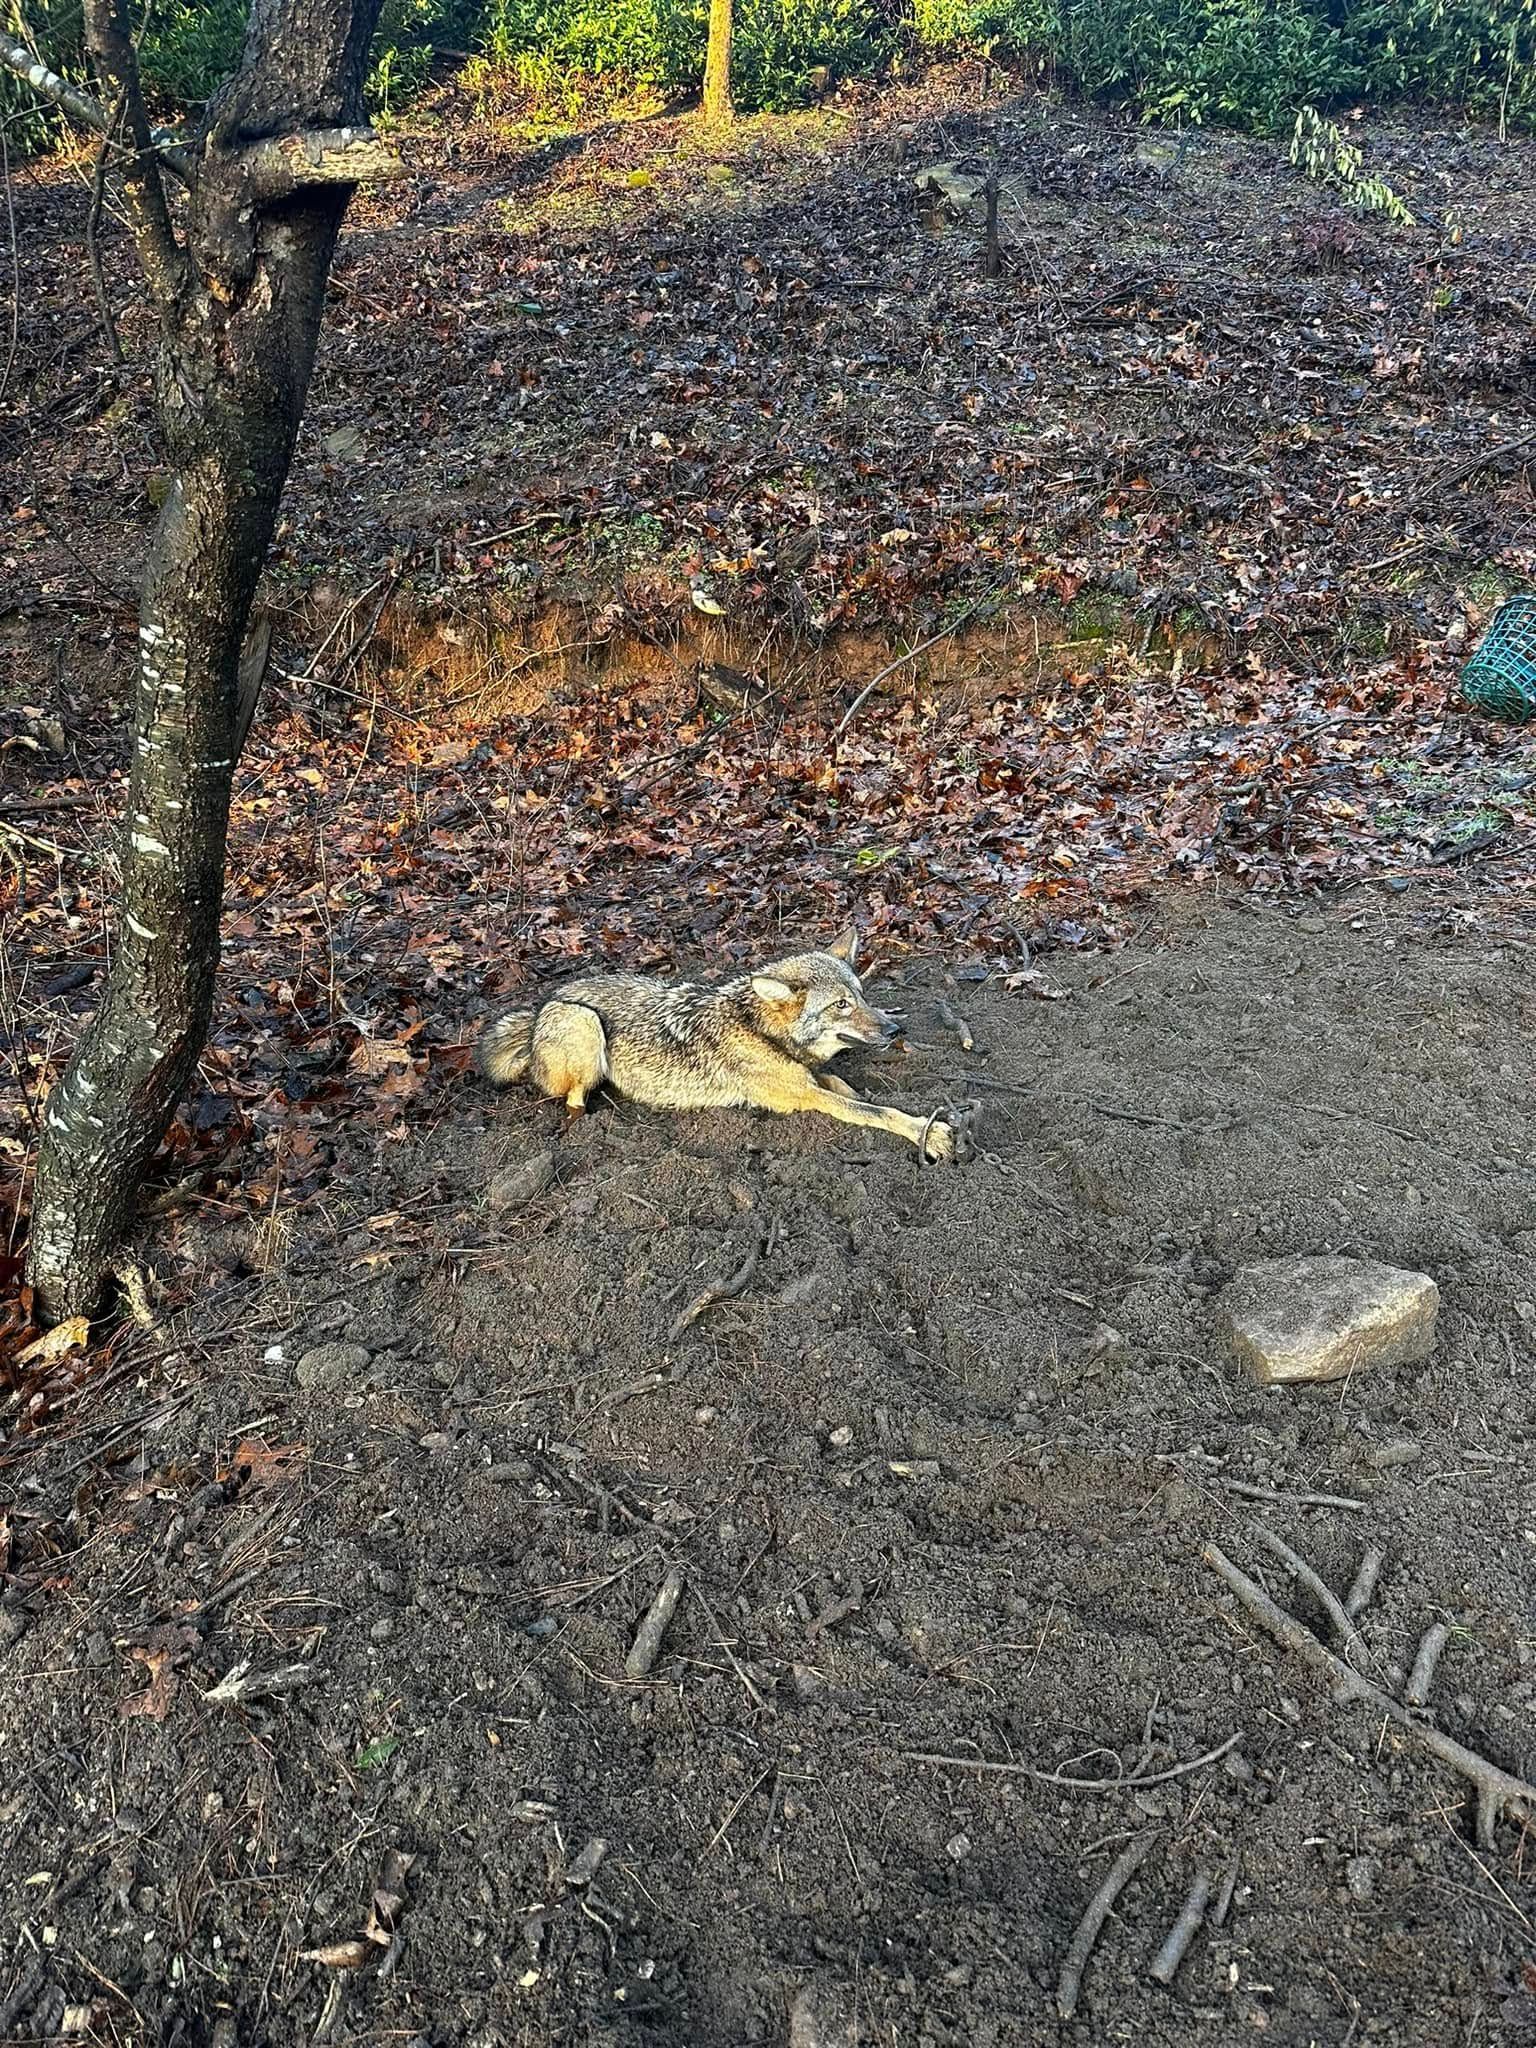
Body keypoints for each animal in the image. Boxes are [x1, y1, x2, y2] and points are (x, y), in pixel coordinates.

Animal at [477, 930, 964, 1161]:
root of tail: (542, 1007)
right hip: (585, 1022)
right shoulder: (805, 1096)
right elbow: (875, 1112)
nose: (895, 1031)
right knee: (573, 1100)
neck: (760, 1030)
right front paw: (931, 1132)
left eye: (861, 996)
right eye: (841, 1005)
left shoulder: (810, 1079)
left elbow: (852, 1090)